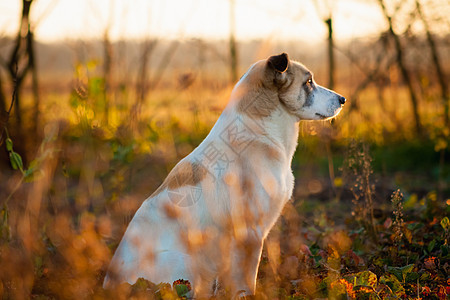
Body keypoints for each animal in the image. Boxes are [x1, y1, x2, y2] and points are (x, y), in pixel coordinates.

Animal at [103, 52, 346, 296]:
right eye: (308, 82)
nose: (343, 99)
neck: (258, 132)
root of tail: (109, 287)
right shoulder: (251, 233)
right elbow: (247, 282)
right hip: (185, 261)